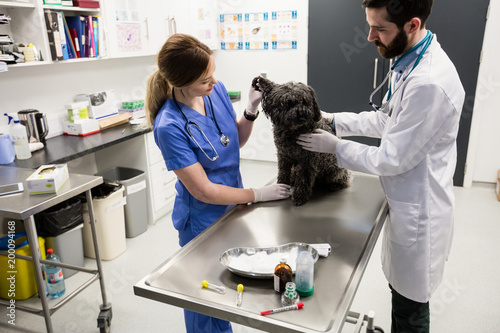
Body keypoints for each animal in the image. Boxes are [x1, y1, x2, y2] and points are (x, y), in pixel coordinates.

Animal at [250, 76, 352, 205]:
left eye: (304, 101)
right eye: (288, 103)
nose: (302, 115)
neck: (293, 132)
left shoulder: (307, 160)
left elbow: (303, 178)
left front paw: (300, 196)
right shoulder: (283, 156)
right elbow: (283, 172)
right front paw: (280, 187)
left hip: (336, 170)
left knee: (344, 179)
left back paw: (336, 185)